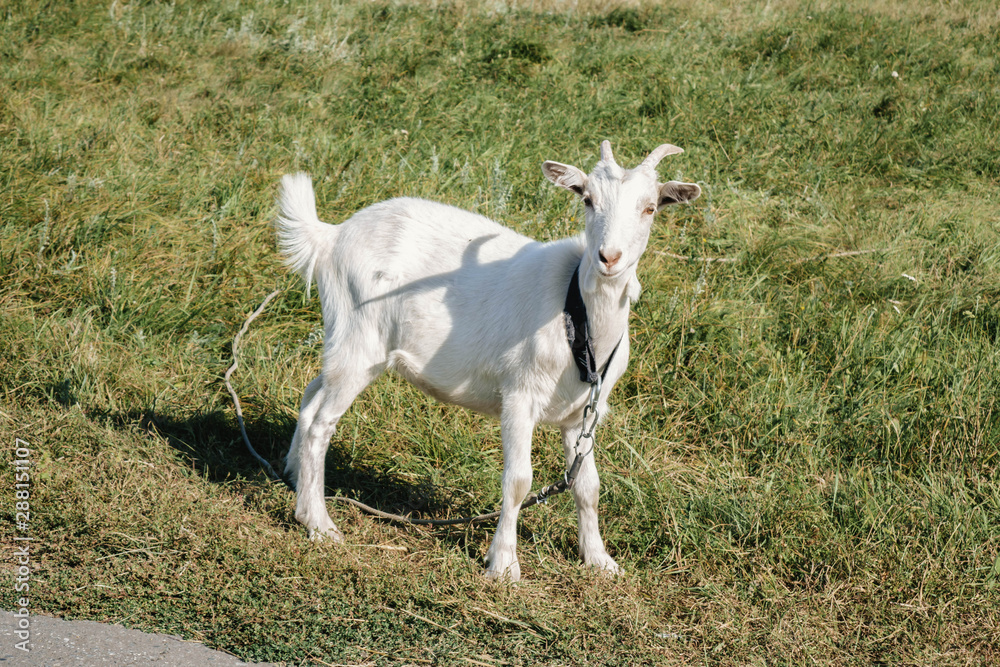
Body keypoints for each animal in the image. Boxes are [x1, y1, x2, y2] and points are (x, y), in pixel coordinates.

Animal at [276, 141, 700, 581]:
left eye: (650, 208)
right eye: (587, 199)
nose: (609, 257)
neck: (577, 311)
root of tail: (331, 236)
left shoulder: (582, 413)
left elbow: (588, 484)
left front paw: (599, 560)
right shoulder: (519, 394)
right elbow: (518, 480)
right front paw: (504, 565)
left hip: (343, 341)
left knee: (310, 395)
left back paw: (294, 478)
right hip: (359, 338)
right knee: (321, 423)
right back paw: (319, 524)